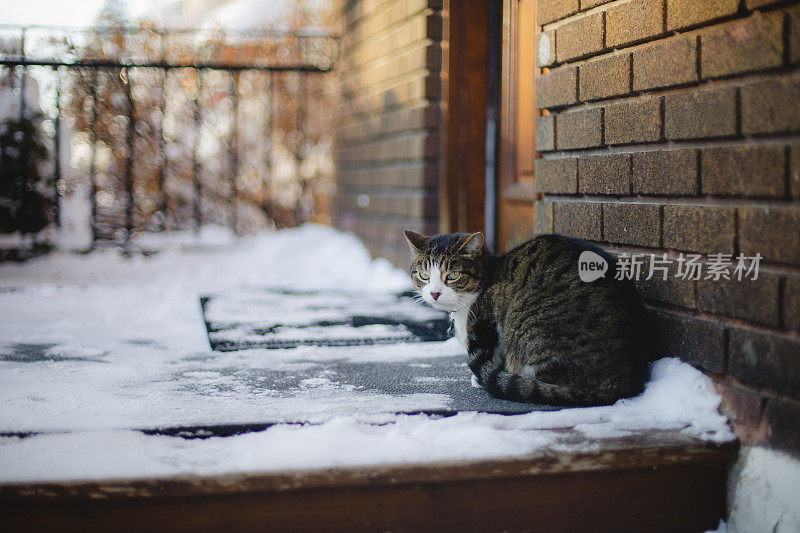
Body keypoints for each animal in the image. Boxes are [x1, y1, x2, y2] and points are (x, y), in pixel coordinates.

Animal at [406, 230, 648, 408]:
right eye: (424, 276)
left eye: (453, 275)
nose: (434, 293)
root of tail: (620, 379)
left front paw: (481, 378)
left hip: (528, 328)